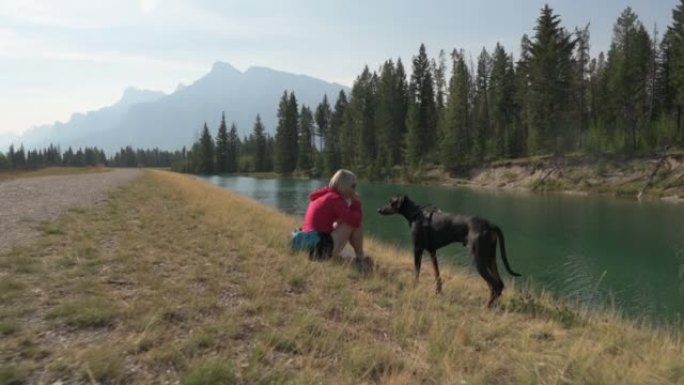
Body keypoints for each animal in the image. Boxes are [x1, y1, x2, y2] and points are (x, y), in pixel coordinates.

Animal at [380, 195, 520, 306]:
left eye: (391, 201)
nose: (379, 210)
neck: (416, 214)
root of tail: (491, 225)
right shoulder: (432, 252)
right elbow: (437, 274)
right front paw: (438, 292)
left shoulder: (417, 249)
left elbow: (416, 272)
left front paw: (414, 288)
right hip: (490, 258)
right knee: (499, 284)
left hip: (479, 259)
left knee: (493, 285)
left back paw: (487, 306)